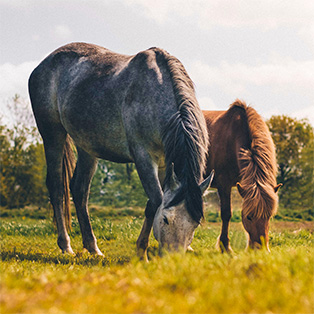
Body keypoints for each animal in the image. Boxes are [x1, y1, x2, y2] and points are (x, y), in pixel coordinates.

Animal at [28, 42, 213, 260]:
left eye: (195, 224)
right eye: (166, 219)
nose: (172, 259)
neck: (155, 94)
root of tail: (43, 65)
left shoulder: (164, 164)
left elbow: (152, 204)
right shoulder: (143, 158)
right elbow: (156, 201)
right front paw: (142, 252)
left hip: (87, 147)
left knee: (80, 190)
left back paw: (92, 247)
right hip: (52, 135)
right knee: (57, 187)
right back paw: (65, 245)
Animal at [204, 100, 282, 253]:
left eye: (268, 216)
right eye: (249, 217)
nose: (260, 249)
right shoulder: (224, 185)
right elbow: (226, 214)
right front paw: (225, 247)